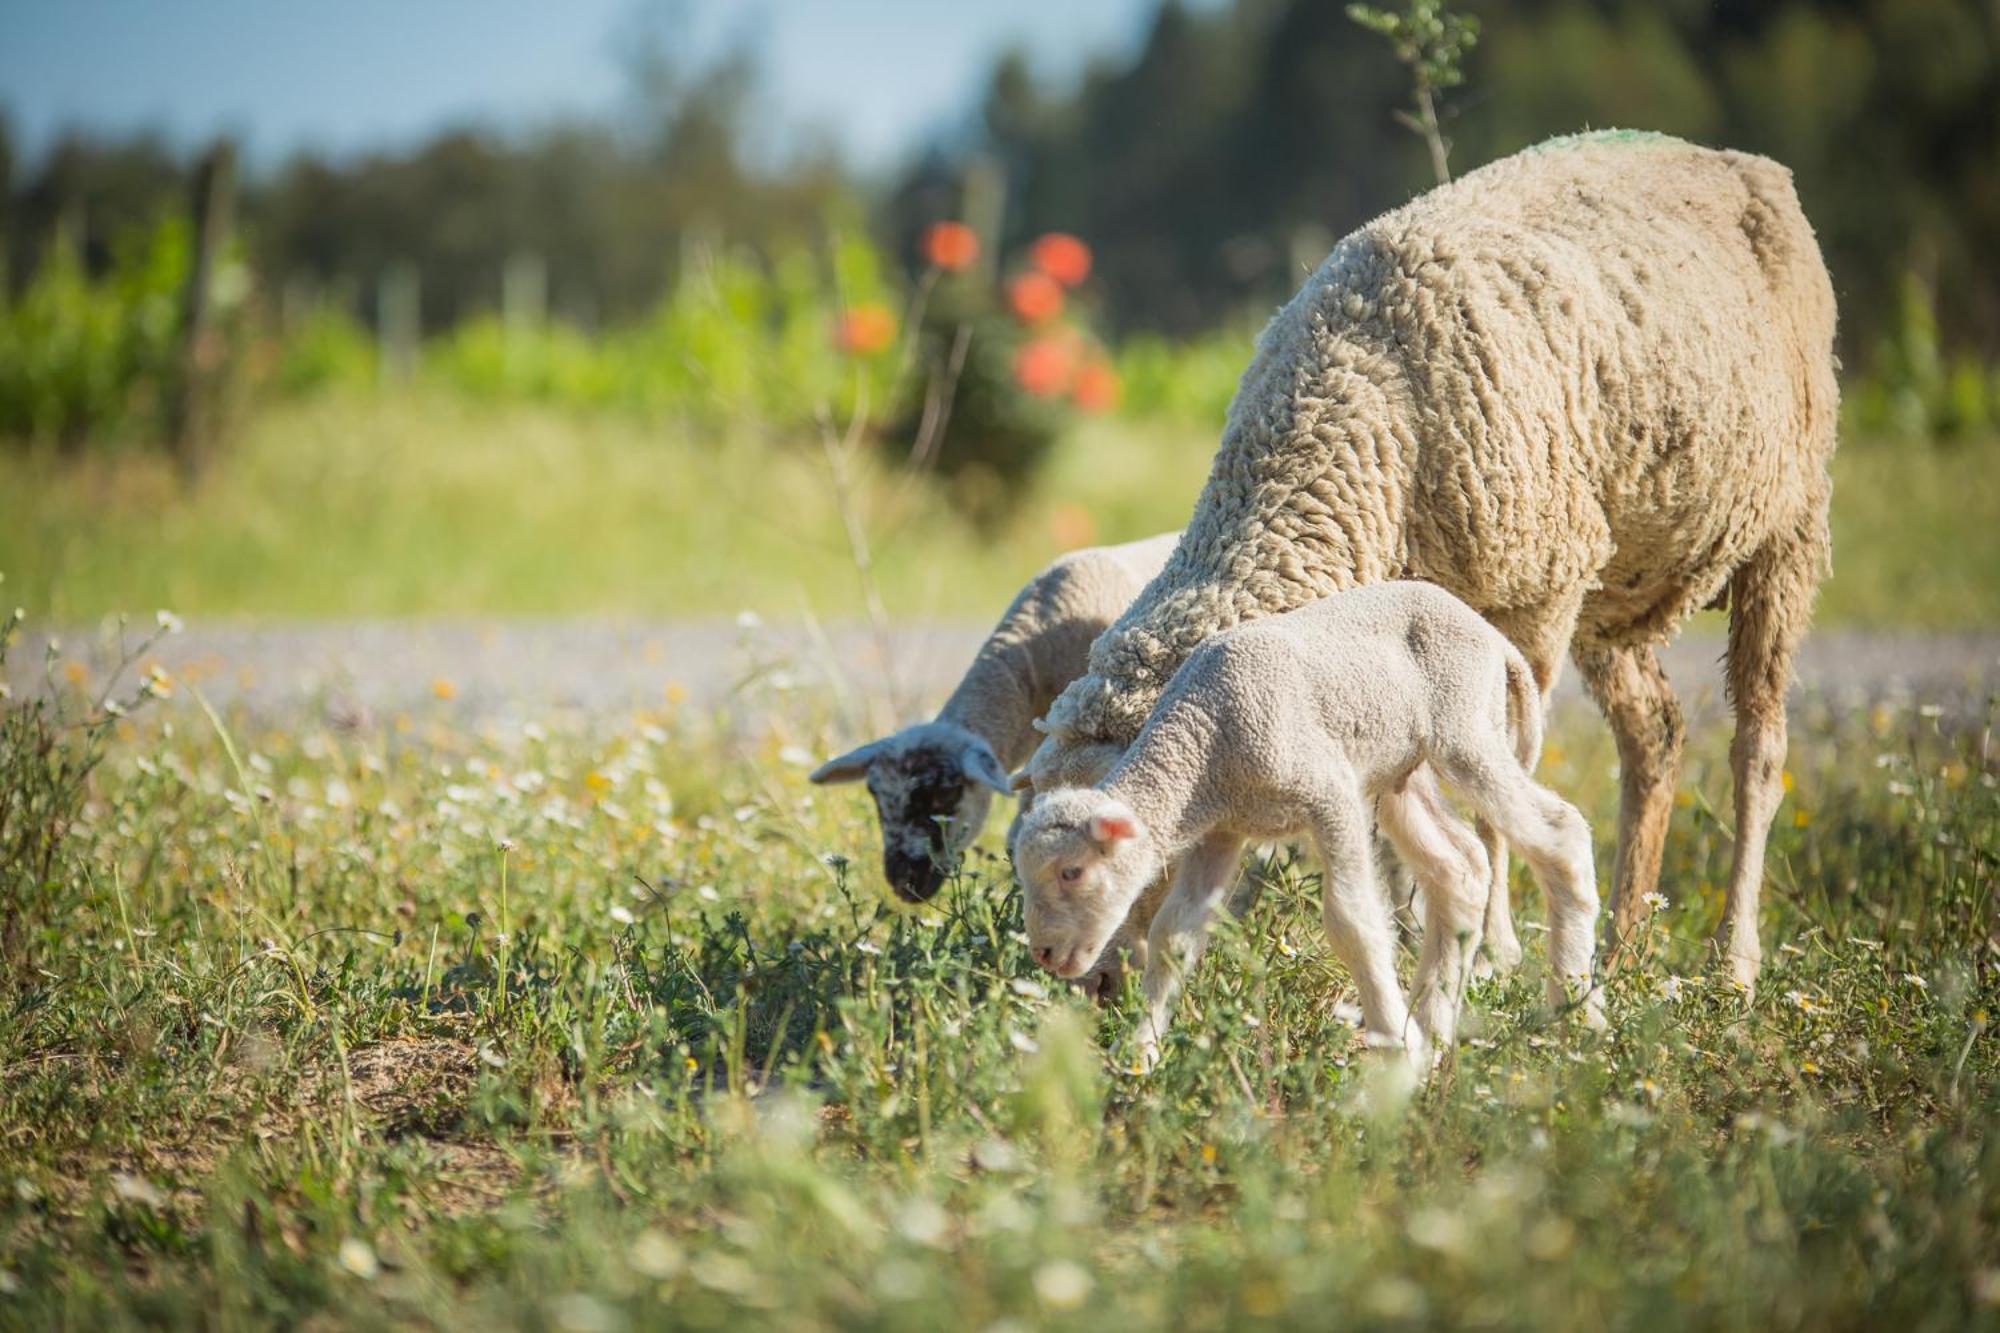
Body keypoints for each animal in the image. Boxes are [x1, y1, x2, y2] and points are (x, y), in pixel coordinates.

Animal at [1008, 580, 1600, 1072]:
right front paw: (1138, 1055)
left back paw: (1574, 1011)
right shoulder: (1222, 829)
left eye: (1072, 872)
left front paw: (1394, 1046)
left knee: (1561, 832)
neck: (1203, 737)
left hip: (1466, 731)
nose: (1043, 954)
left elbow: (1353, 922)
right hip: (1400, 770)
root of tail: (1494, 639)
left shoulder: (1329, 794)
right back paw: (1435, 1029)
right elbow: (1173, 935)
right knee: (1461, 868)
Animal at [1040, 135, 1832, 984]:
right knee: (1655, 733)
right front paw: (1419, 924)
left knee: (1759, 748)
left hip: (1789, 527)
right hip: (1615, 587)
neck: (1350, 392)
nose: (1096, 986)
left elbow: (1502, 775)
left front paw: (1494, 948)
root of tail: (1737, 161)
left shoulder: (1533, 600)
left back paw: (1733, 956)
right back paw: (1625, 940)